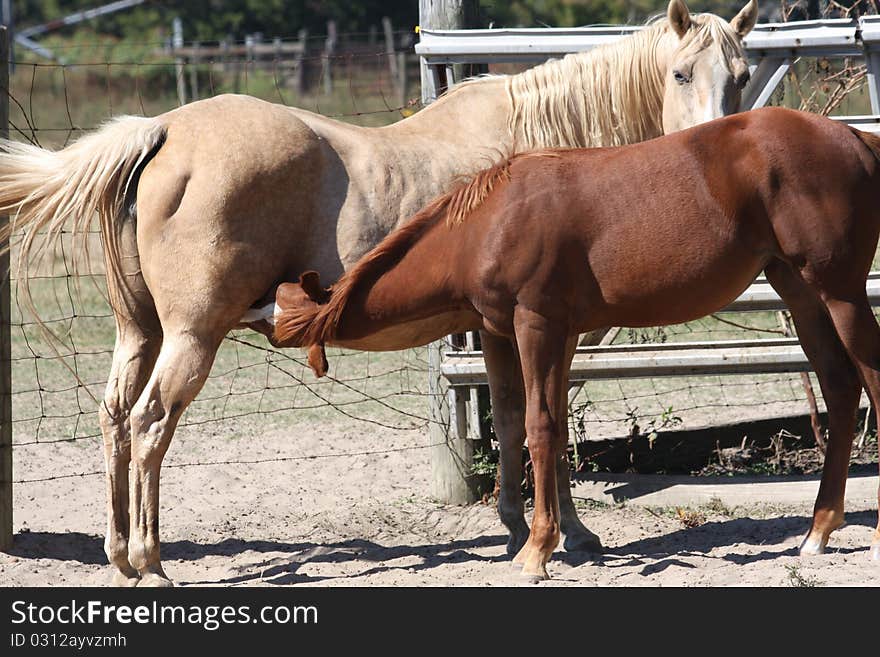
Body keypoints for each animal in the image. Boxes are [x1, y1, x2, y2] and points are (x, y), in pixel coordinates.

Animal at [0, 0, 756, 584]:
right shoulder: (550, 327)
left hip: (141, 334)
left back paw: (119, 557)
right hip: (192, 336)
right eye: (681, 72)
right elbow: (550, 422)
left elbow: (515, 419)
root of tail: (163, 130)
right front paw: (568, 533)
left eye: (744, 76)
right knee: (150, 425)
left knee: (113, 420)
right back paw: (152, 561)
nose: (716, 148)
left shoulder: (499, 330)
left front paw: (519, 526)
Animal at [268, 107, 880, 580]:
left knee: (869, 379)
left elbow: (539, 429)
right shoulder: (534, 335)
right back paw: (818, 530)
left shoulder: (536, 326)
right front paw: (567, 537)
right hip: (799, 292)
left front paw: (538, 550)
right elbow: (540, 427)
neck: (489, 223)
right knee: (839, 387)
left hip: (840, 293)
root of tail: (854, 137)